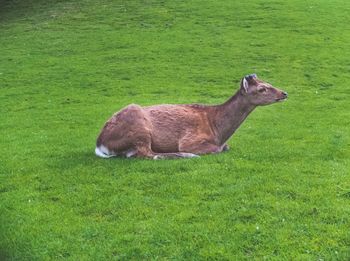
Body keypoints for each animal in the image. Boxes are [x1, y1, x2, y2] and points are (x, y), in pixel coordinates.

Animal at [95, 73, 288, 158]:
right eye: (262, 89)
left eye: (269, 82)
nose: (284, 93)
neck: (218, 131)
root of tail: (100, 143)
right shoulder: (190, 140)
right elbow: (217, 149)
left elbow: (226, 147)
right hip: (138, 126)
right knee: (148, 153)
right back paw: (186, 156)